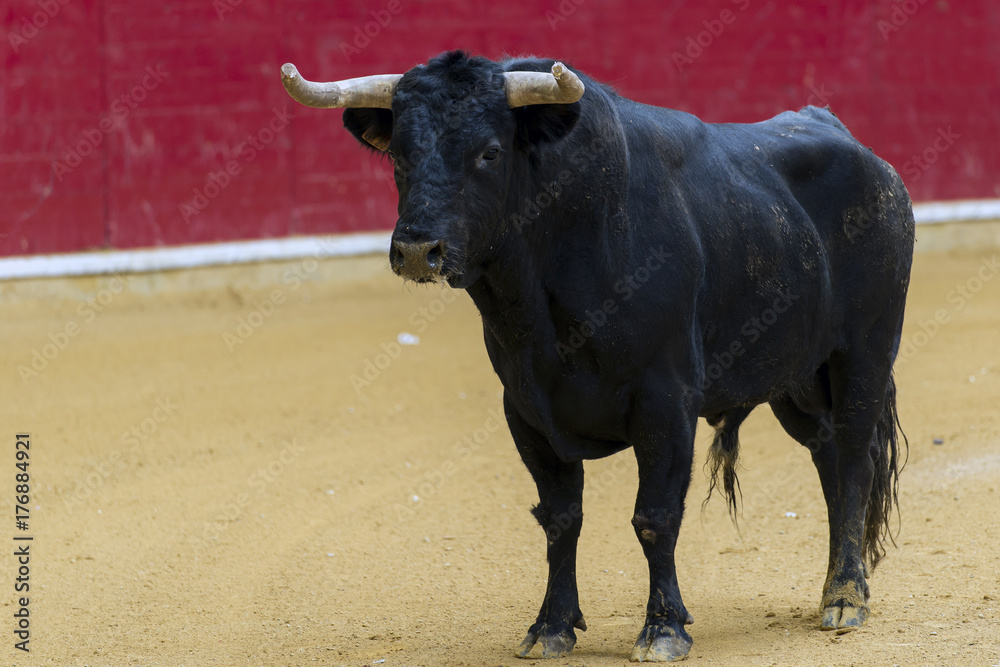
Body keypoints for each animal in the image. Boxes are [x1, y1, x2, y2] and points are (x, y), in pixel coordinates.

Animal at [332, 51, 912, 664]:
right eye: (400, 155)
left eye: (489, 152)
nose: (418, 250)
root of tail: (867, 156)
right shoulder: (525, 411)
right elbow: (559, 519)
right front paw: (550, 627)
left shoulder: (666, 402)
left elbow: (655, 517)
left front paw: (664, 628)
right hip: (797, 380)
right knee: (829, 460)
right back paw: (836, 587)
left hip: (866, 352)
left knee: (855, 459)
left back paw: (846, 598)